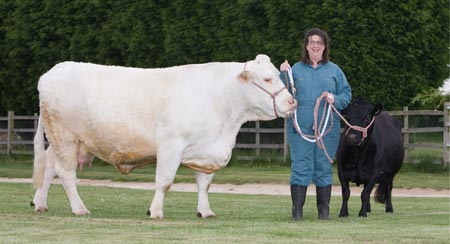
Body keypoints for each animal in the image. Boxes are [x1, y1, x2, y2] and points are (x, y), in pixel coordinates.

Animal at [32, 54, 298, 218]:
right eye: (267, 78)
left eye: (278, 74)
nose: (291, 102)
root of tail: (52, 72)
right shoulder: (171, 145)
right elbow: (165, 181)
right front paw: (156, 211)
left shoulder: (205, 149)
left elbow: (204, 184)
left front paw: (205, 212)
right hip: (65, 137)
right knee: (66, 173)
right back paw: (79, 208)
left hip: (66, 142)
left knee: (49, 167)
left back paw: (40, 203)